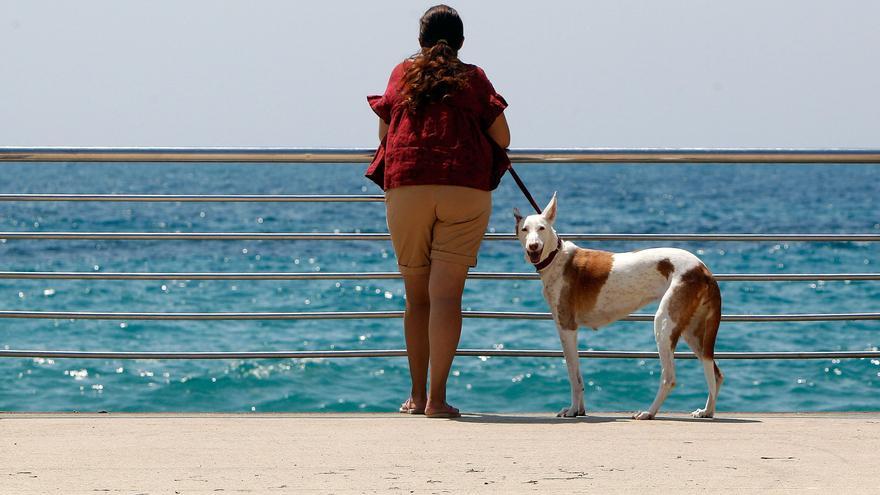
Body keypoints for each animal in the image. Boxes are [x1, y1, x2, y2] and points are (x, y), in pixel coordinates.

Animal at [516, 195, 720, 422]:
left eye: (541, 228)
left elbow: (573, 375)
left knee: (670, 378)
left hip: (664, 324)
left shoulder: (567, 328)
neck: (557, 257)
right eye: (524, 229)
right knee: (715, 373)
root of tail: (703, 269)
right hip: (693, 332)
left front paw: (572, 410)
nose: (533, 246)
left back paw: (649, 412)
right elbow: (578, 375)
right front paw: (580, 410)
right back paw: (707, 411)